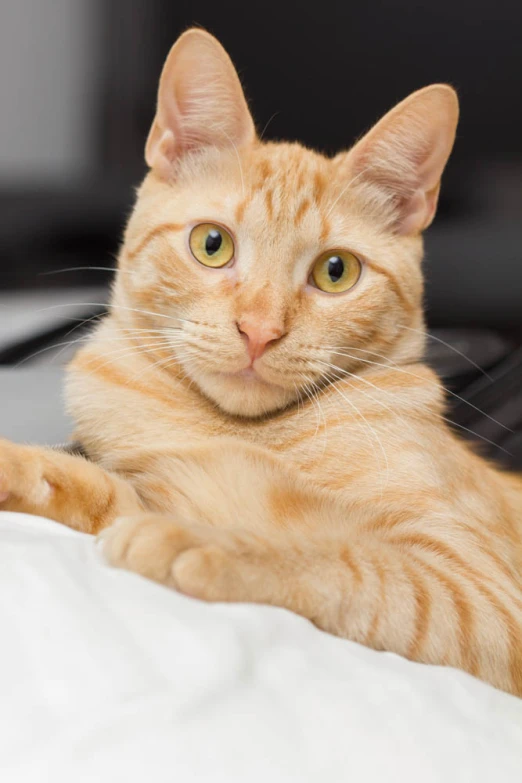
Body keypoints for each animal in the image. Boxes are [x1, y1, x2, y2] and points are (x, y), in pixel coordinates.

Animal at [1, 27, 520, 696]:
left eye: (336, 271)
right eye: (211, 244)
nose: (260, 331)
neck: (240, 431)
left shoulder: (480, 590)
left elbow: (351, 563)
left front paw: (209, 544)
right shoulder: (154, 485)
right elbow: (89, 484)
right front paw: (17, 466)